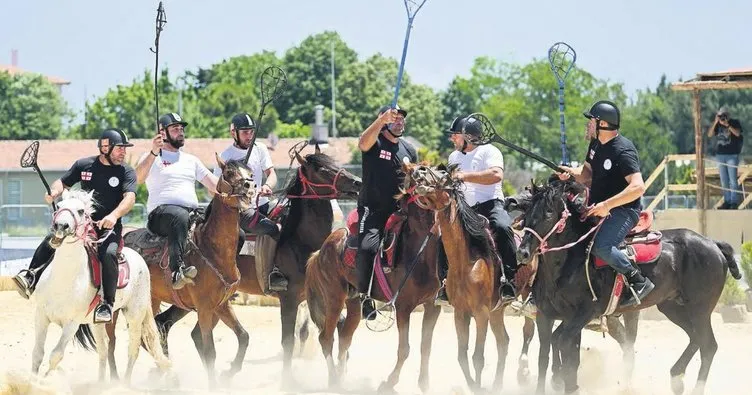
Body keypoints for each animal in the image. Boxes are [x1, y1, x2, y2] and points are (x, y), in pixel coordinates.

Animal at [30, 190, 171, 386]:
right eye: (58, 206)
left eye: (81, 211)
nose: (61, 226)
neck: (63, 279)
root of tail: (138, 257)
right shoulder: (41, 316)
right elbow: (37, 353)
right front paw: (30, 380)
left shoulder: (72, 323)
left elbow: (55, 355)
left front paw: (44, 380)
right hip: (96, 323)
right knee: (104, 348)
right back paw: (101, 383)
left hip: (135, 315)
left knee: (133, 348)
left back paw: (124, 383)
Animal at [114, 157, 256, 386]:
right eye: (228, 172)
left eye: (250, 172)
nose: (250, 186)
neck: (211, 249)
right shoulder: (205, 308)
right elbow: (210, 351)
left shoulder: (221, 305)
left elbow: (243, 336)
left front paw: (229, 372)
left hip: (153, 301)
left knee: (154, 332)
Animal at [304, 162, 444, 392]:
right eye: (419, 177)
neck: (418, 252)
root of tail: (320, 251)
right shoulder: (403, 308)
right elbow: (404, 349)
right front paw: (389, 382)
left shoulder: (433, 306)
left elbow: (426, 347)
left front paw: (424, 384)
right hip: (334, 300)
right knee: (326, 338)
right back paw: (334, 381)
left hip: (353, 303)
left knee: (344, 338)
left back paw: (341, 378)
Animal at [516, 180, 740, 395]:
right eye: (527, 212)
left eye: (548, 213)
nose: (523, 253)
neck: (570, 261)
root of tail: (712, 243)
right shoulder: (546, 316)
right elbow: (546, 353)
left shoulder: (583, 313)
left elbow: (564, 345)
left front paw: (569, 385)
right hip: (673, 307)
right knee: (695, 338)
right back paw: (676, 378)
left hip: (700, 309)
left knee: (708, 345)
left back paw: (696, 387)